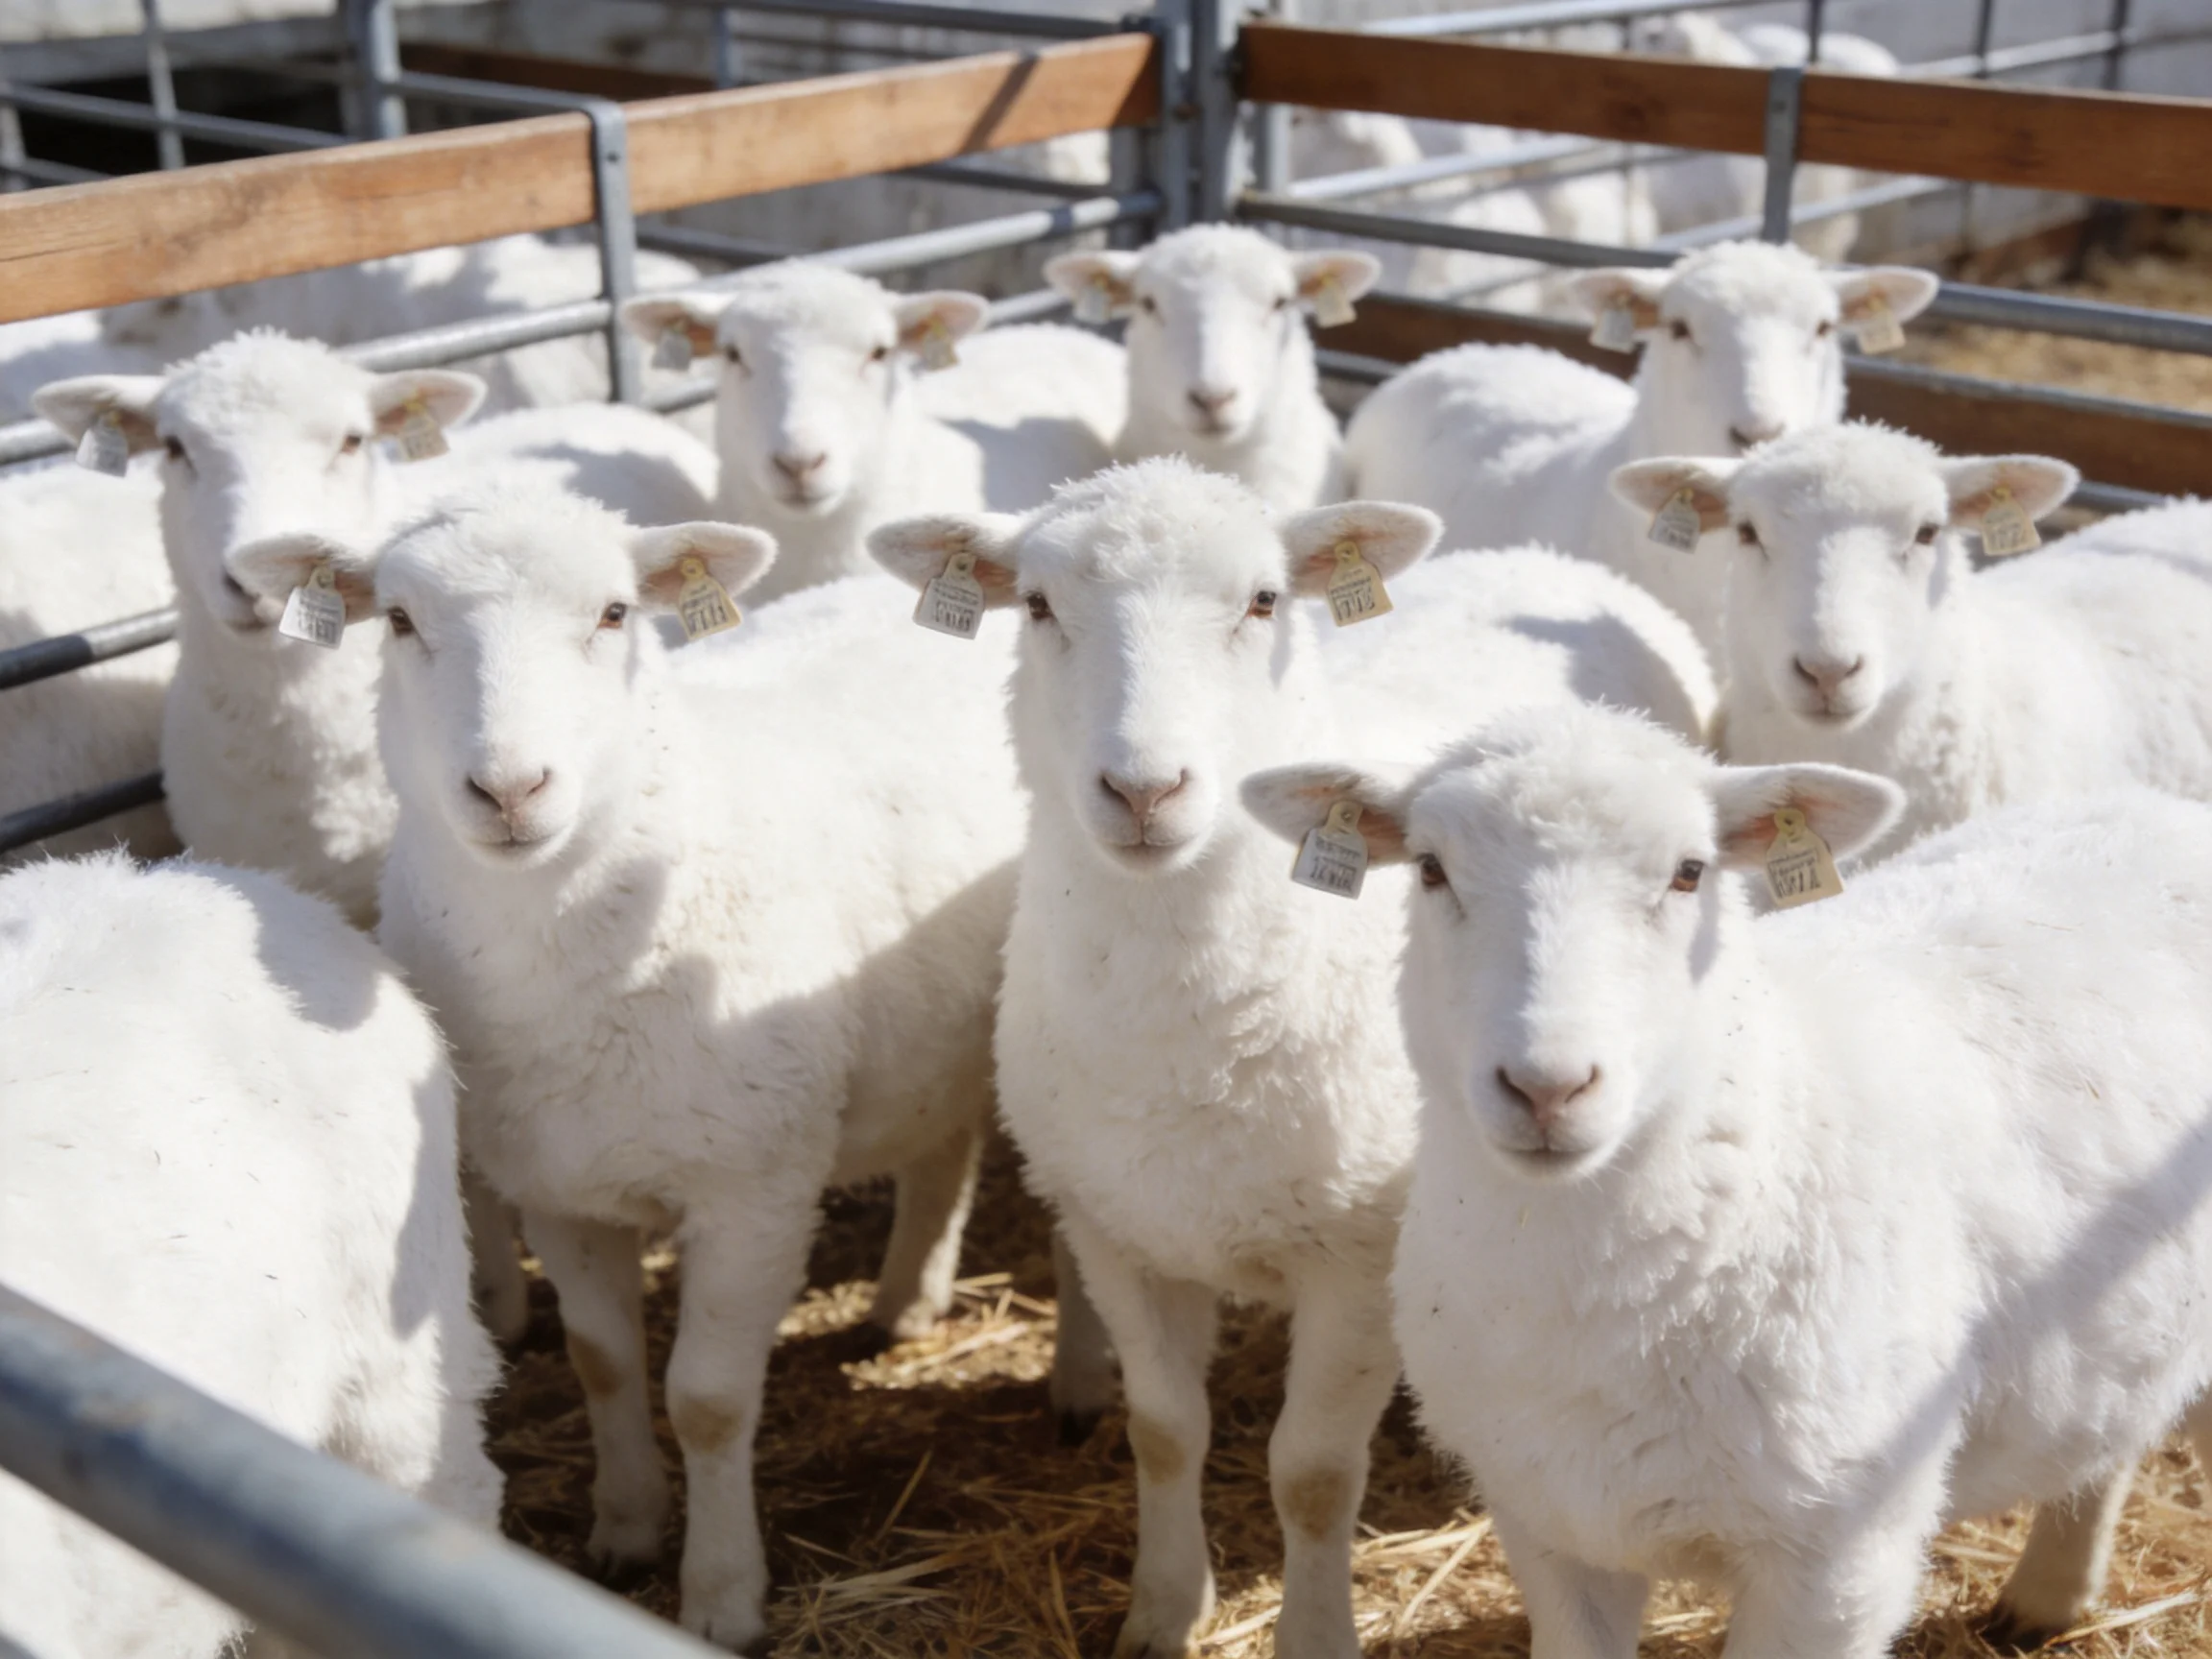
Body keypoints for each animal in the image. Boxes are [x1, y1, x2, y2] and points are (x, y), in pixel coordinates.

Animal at [228, 486, 1037, 1651]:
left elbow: (706, 1398)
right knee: (944, 1137)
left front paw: (722, 1594)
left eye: (614, 613)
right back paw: (908, 1300)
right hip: (935, 1025)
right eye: (400, 620)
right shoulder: (559, 1185)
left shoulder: (756, 1186)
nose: (511, 788)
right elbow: (603, 1362)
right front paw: (624, 1529)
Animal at [866, 456, 1715, 1659]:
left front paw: (1313, 1633)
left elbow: (1311, 1475)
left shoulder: (1356, 1259)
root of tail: (1545, 563)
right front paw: (1162, 1610)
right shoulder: (1118, 1230)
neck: (1189, 1034)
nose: (1145, 791)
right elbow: (1165, 1430)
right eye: (1034, 605)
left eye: (1264, 601)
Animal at [1244, 701, 2212, 1653]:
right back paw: (2050, 1592)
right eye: (1432, 869)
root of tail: (2159, 811)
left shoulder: (1841, 1560)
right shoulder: (1547, 1521)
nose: (1547, 1087)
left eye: (1689, 872)